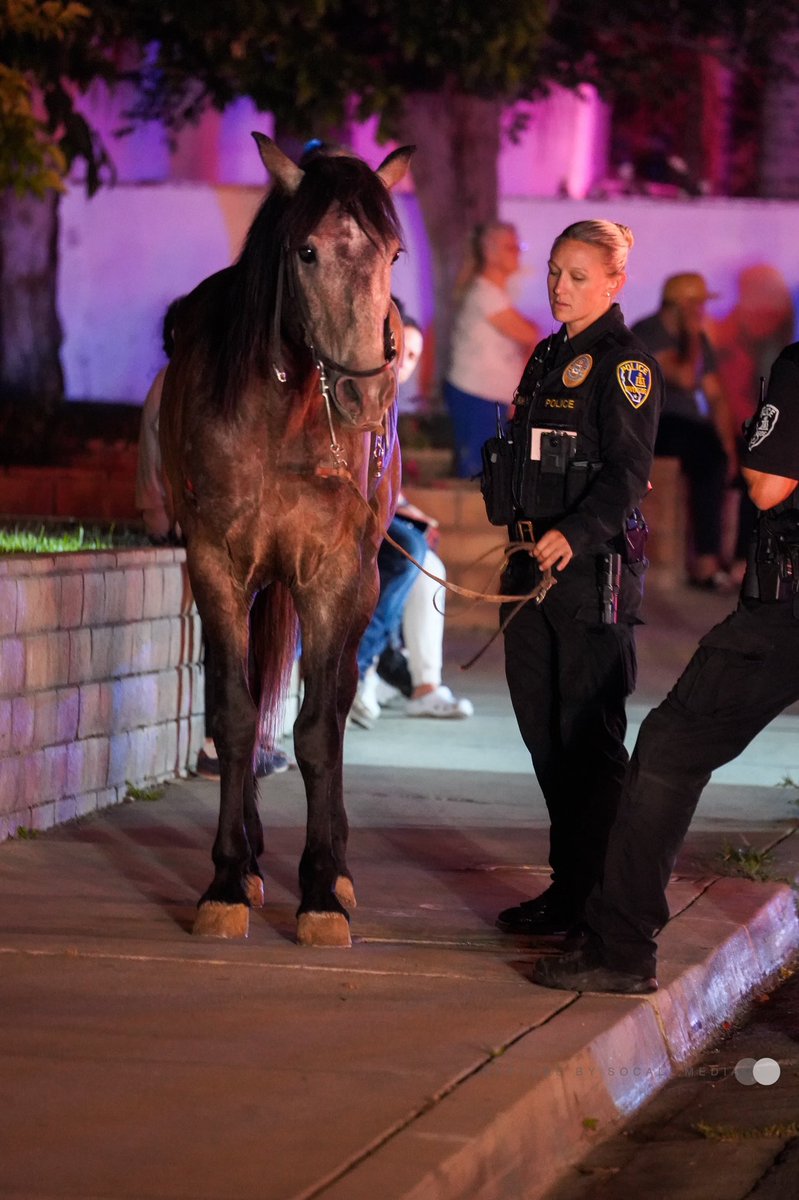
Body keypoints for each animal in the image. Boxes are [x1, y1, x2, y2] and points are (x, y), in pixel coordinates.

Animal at [159, 133, 412, 945]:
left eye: (395, 252)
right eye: (307, 251)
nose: (367, 392)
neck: (285, 415)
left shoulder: (335, 576)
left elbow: (318, 728)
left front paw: (323, 889)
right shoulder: (215, 567)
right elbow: (236, 715)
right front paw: (227, 879)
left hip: (358, 582)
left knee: (334, 700)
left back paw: (336, 864)